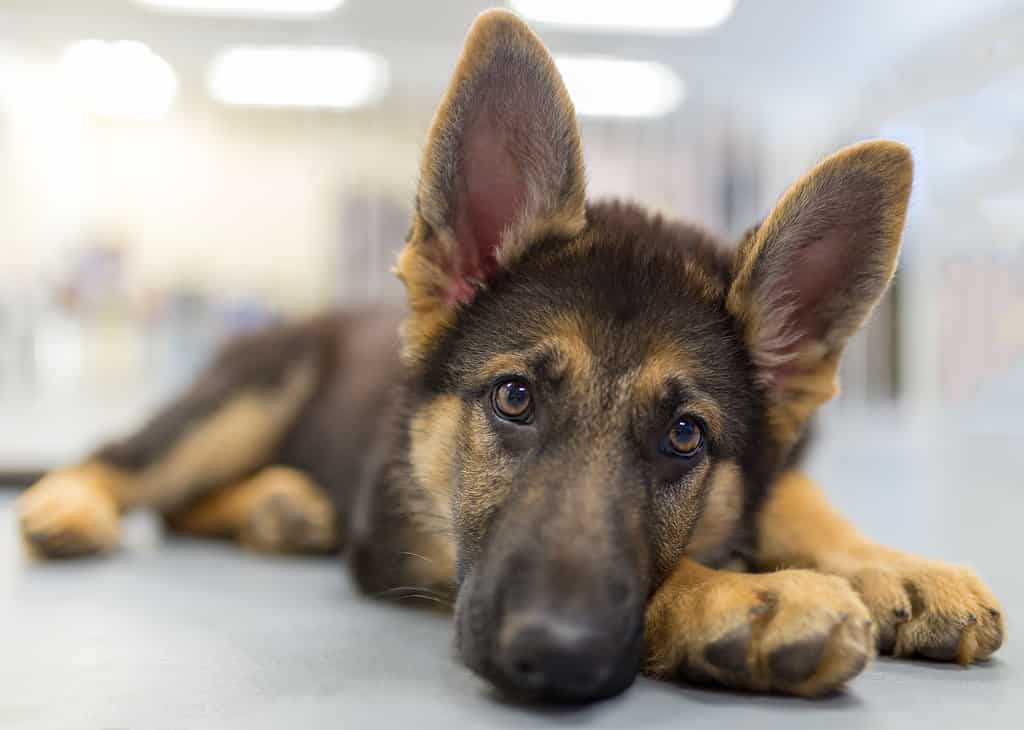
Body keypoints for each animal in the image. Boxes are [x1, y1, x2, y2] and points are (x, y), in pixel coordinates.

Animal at [19, 8, 1003, 704]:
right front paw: (740, 597)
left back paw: (279, 507)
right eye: (515, 398)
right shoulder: (414, 541)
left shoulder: (772, 463)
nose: (555, 653)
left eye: (685, 436)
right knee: (131, 466)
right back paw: (74, 503)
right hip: (250, 396)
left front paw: (895, 568)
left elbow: (798, 500)